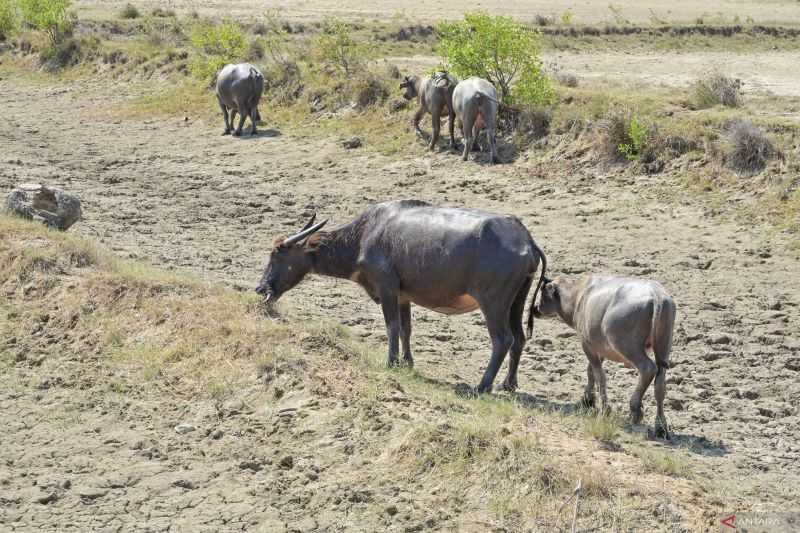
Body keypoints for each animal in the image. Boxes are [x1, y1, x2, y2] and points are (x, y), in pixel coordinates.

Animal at [260, 200, 548, 390]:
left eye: (278, 254)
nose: (261, 288)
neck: (366, 235)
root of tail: (526, 239)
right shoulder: (403, 297)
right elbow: (406, 329)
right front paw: (407, 363)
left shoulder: (387, 289)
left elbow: (392, 327)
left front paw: (391, 362)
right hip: (516, 302)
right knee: (519, 338)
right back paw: (508, 384)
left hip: (493, 303)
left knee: (503, 339)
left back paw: (482, 386)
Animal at [536, 272, 680, 438]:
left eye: (542, 292)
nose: (535, 308)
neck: (579, 296)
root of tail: (656, 295)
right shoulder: (599, 350)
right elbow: (590, 371)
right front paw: (587, 400)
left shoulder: (587, 345)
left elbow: (599, 376)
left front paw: (603, 408)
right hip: (663, 348)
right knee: (660, 383)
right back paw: (661, 426)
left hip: (627, 346)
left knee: (648, 369)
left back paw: (635, 409)